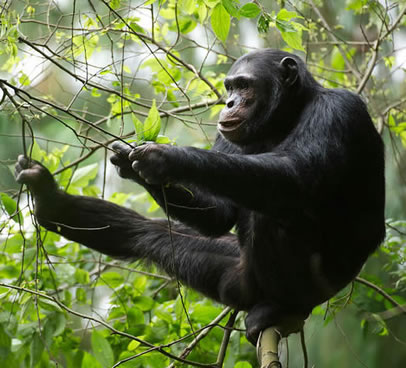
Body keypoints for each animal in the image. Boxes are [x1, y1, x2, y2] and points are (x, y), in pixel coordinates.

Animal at [15, 49, 384, 344]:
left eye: (245, 86)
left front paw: (165, 158)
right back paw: (52, 202)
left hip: (312, 286)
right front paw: (131, 163)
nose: (230, 103)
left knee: (274, 213)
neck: (287, 116)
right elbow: (219, 214)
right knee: (148, 234)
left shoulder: (339, 109)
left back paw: (279, 308)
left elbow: (297, 175)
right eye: (230, 87)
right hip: (232, 276)